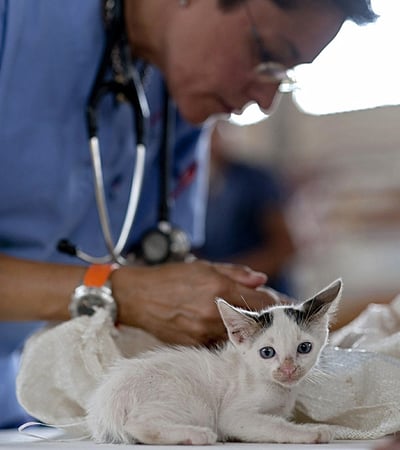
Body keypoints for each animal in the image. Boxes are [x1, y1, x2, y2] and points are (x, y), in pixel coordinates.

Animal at [86, 278, 342, 442]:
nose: (288, 369)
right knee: (137, 425)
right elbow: (273, 425)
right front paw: (311, 432)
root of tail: (105, 404)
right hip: (193, 403)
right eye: (267, 352)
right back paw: (195, 436)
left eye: (304, 348)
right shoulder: (233, 416)